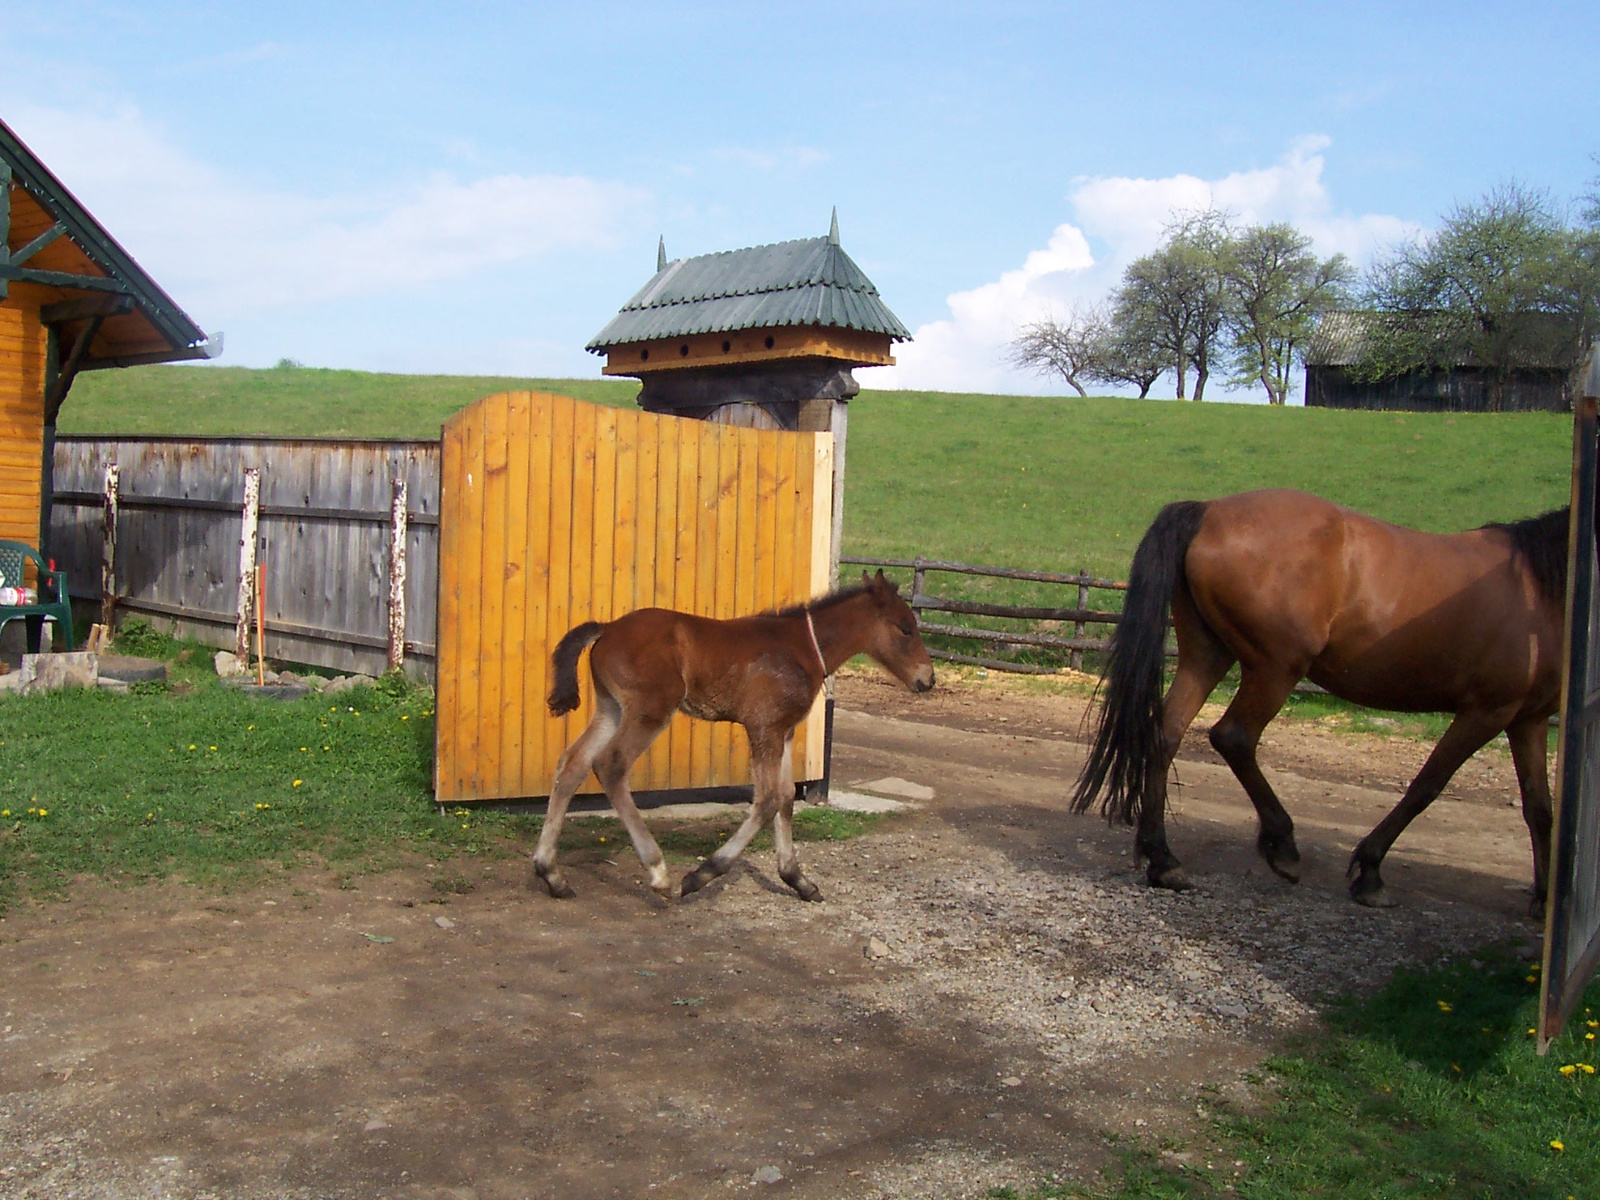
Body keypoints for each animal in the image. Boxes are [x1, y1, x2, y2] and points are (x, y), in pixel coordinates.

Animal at [537, 572, 934, 902]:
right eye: (905, 629)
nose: (928, 679)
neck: (803, 647)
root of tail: (606, 628)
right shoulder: (763, 728)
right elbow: (768, 800)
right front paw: (701, 875)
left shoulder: (784, 730)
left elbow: (786, 797)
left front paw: (798, 879)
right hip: (650, 711)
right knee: (610, 765)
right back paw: (659, 873)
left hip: (611, 708)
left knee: (572, 764)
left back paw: (550, 873)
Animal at [1068, 489, 1568, 908]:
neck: (1539, 590)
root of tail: (1208, 509)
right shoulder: (1486, 710)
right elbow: (1426, 786)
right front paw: (1370, 871)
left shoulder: (1528, 719)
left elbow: (1540, 808)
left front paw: (1546, 897)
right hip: (1275, 669)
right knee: (1234, 737)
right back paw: (1282, 846)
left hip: (1206, 655)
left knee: (1165, 736)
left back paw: (1164, 861)